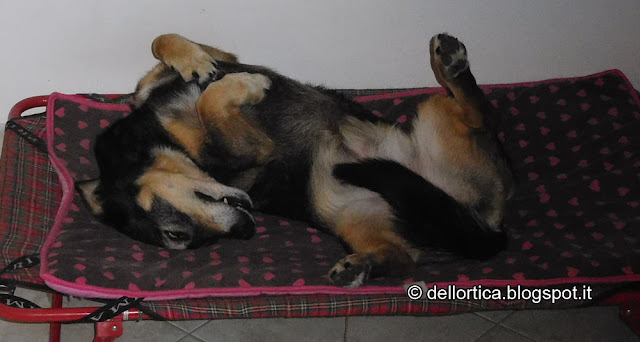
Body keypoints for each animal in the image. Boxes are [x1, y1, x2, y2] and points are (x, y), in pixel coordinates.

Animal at [77, 33, 512, 288]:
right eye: (178, 237)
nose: (244, 232)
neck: (156, 131)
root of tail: (483, 221)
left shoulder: (219, 57)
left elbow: (168, 44)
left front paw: (196, 63)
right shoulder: (248, 150)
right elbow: (209, 101)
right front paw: (244, 85)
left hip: (429, 118)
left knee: (481, 114)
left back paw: (449, 62)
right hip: (346, 208)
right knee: (406, 261)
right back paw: (361, 267)